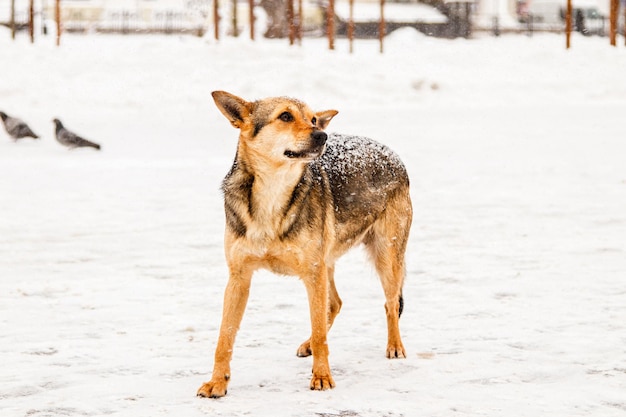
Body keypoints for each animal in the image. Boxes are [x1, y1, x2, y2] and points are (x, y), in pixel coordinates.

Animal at [195, 91, 410, 396]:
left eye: (312, 119)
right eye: (285, 116)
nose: (322, 135)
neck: (272, 195)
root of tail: (392, 153)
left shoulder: (312, 273)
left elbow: (320, 333)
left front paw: (322, 377)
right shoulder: (239, 278)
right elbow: (224, 338)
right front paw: (217, 382)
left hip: (386, 260)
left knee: (390, 305)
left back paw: (395, 346)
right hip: (327, 263)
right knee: (335, 304)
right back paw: (308, 344)